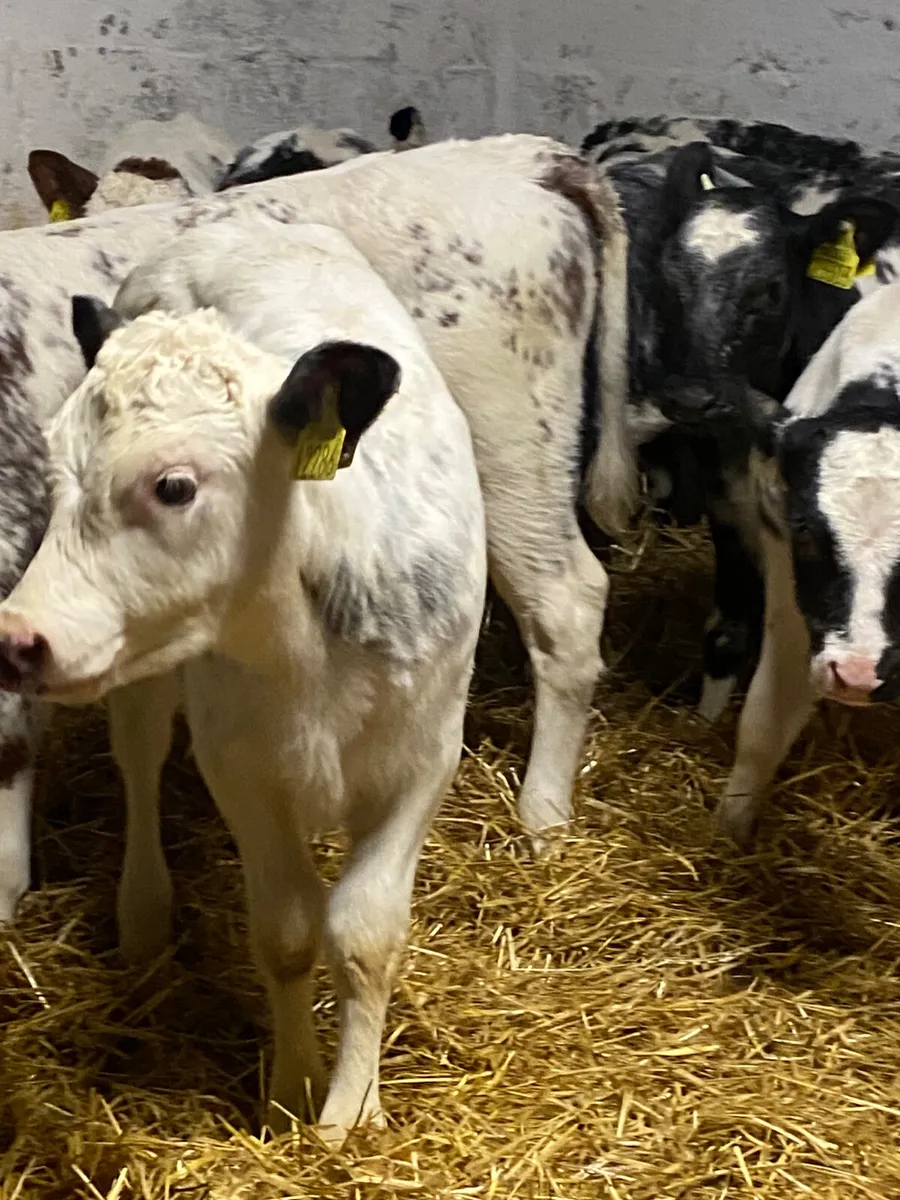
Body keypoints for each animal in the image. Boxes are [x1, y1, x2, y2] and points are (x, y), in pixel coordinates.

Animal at [0, 218, 488, 1144]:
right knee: (140, 758)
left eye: (174, 485)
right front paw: (293, 1093)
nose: (17, 637)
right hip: (143, 671)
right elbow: (289, 930)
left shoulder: (425, 758)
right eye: (52, 468)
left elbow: (365, 931)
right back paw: (144, 913)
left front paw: (352, 1113)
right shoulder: (241, 766)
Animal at [582, 118, 900, 720]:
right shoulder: (729, 505)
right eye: (665, 279)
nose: (690, 397)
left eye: (770, 289)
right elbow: (729, 627)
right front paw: (706, 721)